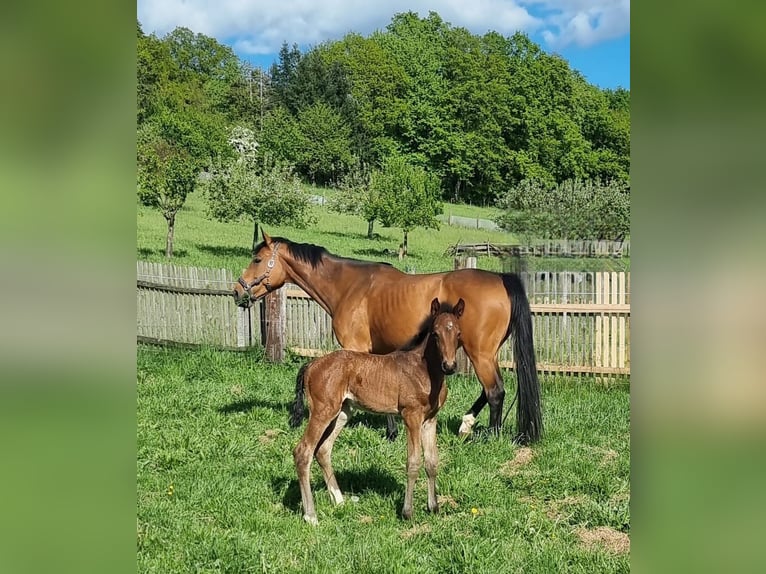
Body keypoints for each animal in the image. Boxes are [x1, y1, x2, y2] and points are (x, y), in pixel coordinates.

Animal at [233, 232, 542, 444]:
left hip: (479, 353)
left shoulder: (355, 347)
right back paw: (467, 424)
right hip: (487, 353)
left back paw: (490, 435)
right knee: (490, 390)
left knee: (495, 391)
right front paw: (392, 430)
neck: (349, 285)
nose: (238, 290)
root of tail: (501, 279)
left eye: (257, 259)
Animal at [289, 297, 464, 524]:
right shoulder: (411, 416)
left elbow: (432, 461)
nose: (449, 366)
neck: (424, 371)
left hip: (343, 412)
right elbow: (413, 462)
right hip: (322, 411)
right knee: (303, 451)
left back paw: (339, 501)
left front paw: (434, 507)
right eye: (435, 333)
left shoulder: (430, 419)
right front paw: (407, 512)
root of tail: (311, 364)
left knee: (323, 449)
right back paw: (311, 515)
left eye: (458, 333)